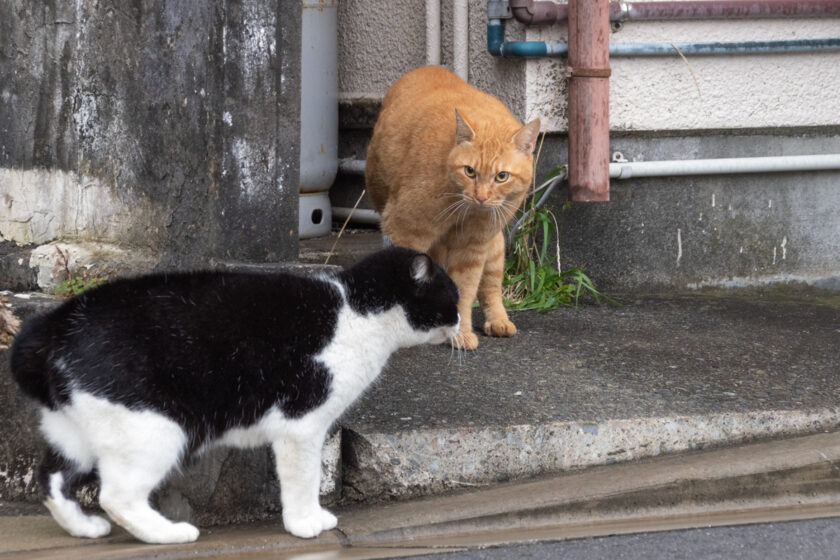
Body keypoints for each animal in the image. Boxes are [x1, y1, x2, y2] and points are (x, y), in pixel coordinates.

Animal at [11, 248, 460, 544]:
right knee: (115, 495)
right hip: (155, 429)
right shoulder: (303, 426)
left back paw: (84, 527)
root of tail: (53, 324)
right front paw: (305, 523)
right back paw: (169, 534)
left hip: (74, 431)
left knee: (51, 478)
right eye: (452, 296)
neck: (357, 311)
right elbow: (306, 477)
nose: (460, 320)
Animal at [366, 63, 540, 348]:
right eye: (470, 171)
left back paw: (499, 322)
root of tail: (427, 67)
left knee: (491, 287)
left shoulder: (473, 249)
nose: (481, 197)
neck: (464, 212)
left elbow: (465, 292)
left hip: (494, 247)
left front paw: (461, 334)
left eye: (501, 176)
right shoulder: (406, 230)